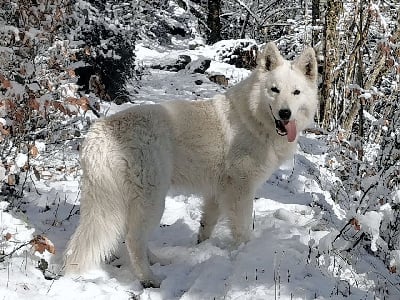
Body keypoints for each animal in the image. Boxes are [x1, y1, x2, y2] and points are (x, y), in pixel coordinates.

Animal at [64, 42, 318, 288]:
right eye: (274, 90)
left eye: (296, 92)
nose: (285, 113)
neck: (253, 120)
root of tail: (96, 135)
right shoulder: (240, 191)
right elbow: (243, 230)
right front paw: (245, 253)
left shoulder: (216, 193)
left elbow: (207, 225)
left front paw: (201, 247)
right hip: (152, 201)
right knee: (133, 240)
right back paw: (149, 278)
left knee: (132, 238)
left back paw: (155, 260)